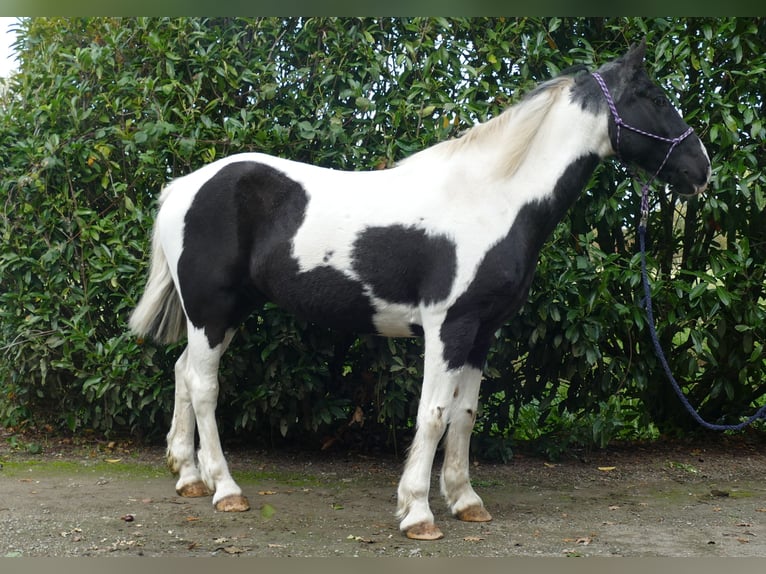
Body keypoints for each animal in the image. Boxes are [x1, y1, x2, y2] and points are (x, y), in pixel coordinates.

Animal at [130, 39, 712, 540]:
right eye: (655, 98)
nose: (701, 169)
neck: (494, 198)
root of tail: (184, 186)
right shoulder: (447, 328)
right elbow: (432, 414)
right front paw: (417, 512)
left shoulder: (481, 333)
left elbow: (465, 415)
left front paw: (465, 501)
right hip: (211, 310)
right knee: (204, 387)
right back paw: (225, 489)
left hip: (224, 314)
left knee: (183, 374)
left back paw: (189, 477)